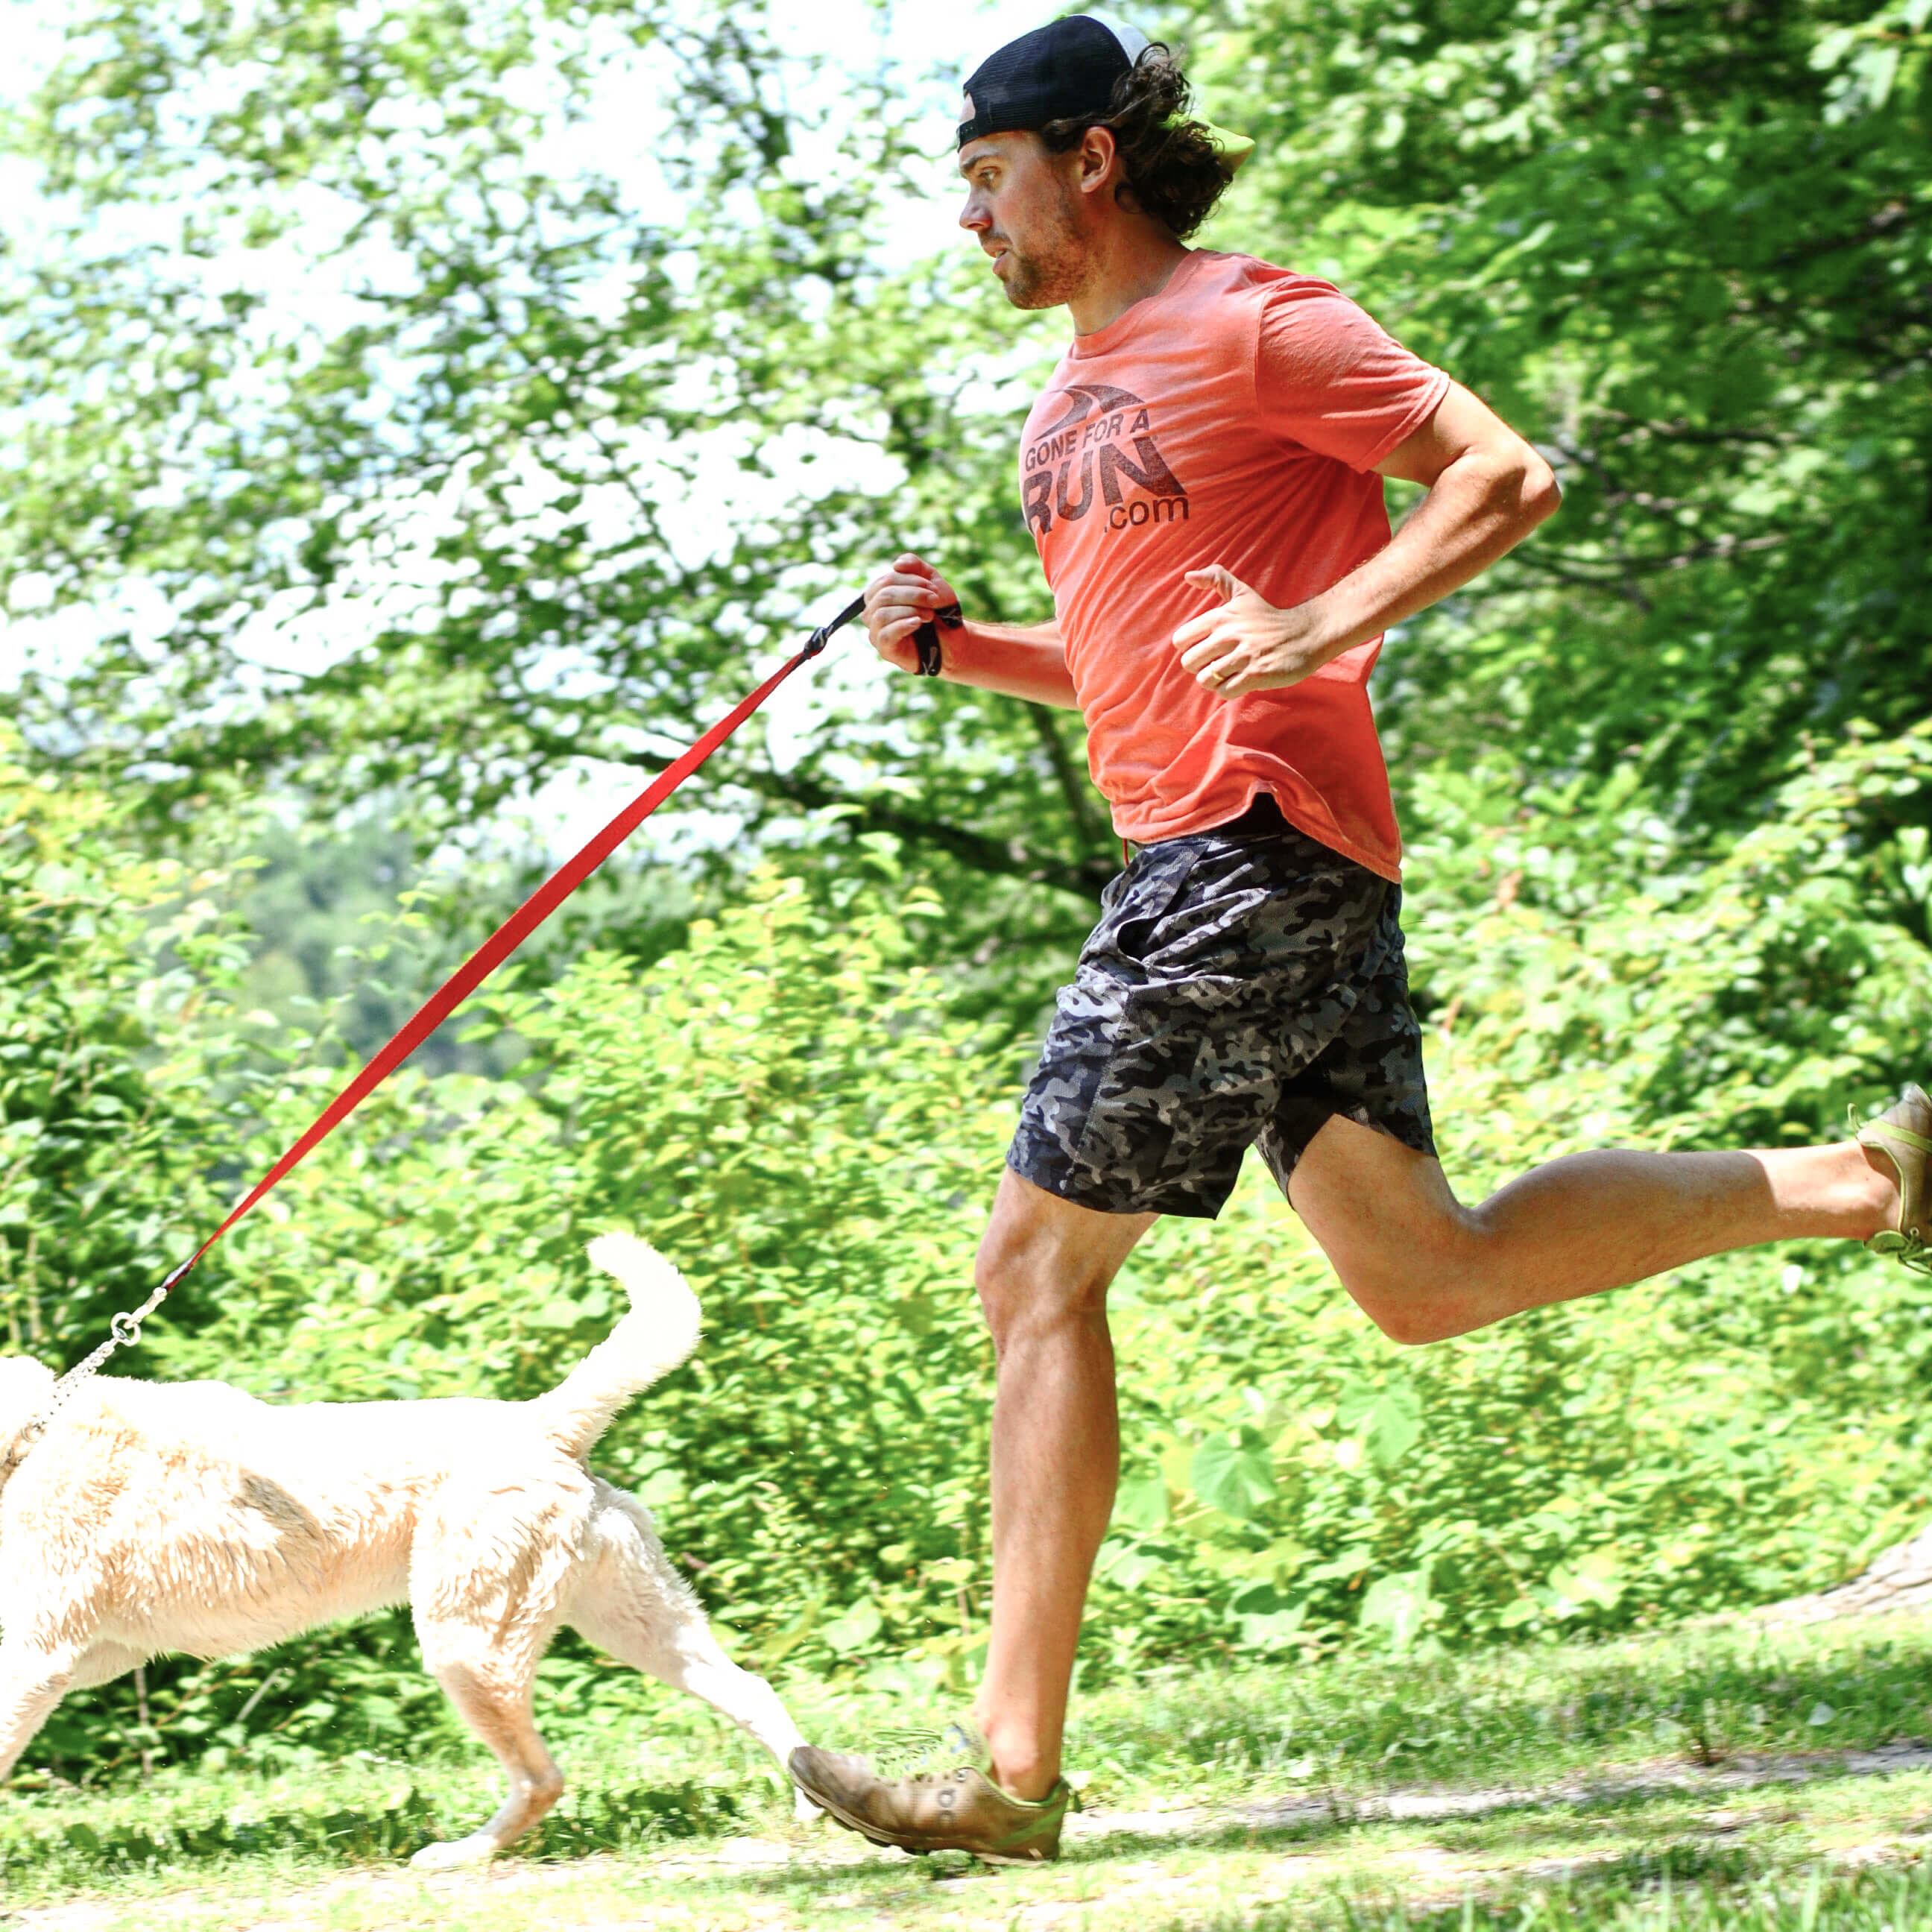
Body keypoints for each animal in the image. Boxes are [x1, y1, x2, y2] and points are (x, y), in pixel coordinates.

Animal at [0, 1236, 807, 1854]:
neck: (26, 1439)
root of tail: (544, 1422)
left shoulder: (37, 1658)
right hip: (635, 1625)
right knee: (752, 1691)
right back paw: (810, 1805)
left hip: (467, 1647)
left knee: (542, 1779)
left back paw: (460, 1856)